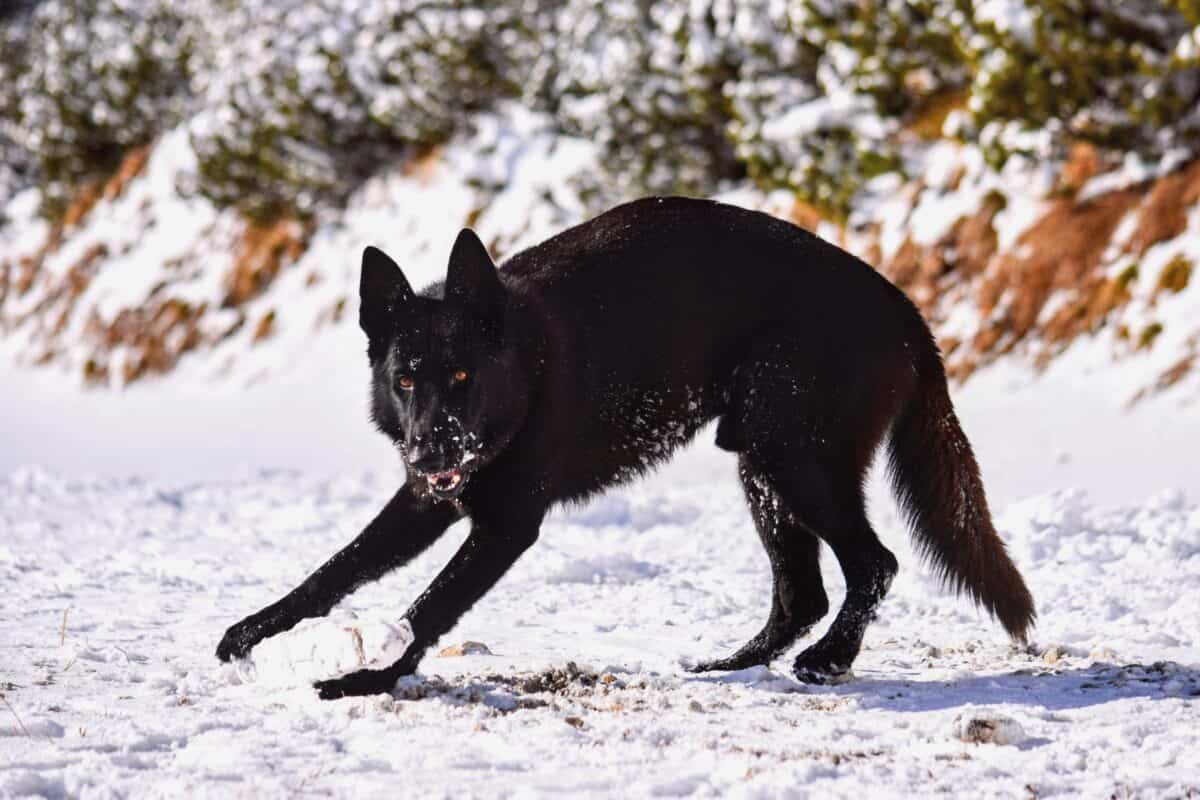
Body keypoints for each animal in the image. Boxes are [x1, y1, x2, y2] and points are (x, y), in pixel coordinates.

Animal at [216, 197, 1035, 699]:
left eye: (461, 376)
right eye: (406, 379)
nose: (431, 450)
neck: (524, 366)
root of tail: (900, 303)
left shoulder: (505, 525)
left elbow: (429, 605)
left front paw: (370, 680)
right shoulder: (425, 504)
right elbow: (333, 570)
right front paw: (253, 631)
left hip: (796, 461)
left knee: (875, 563)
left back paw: (829, 661)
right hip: (764, 471)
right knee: (803, 592)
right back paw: (730, 664)